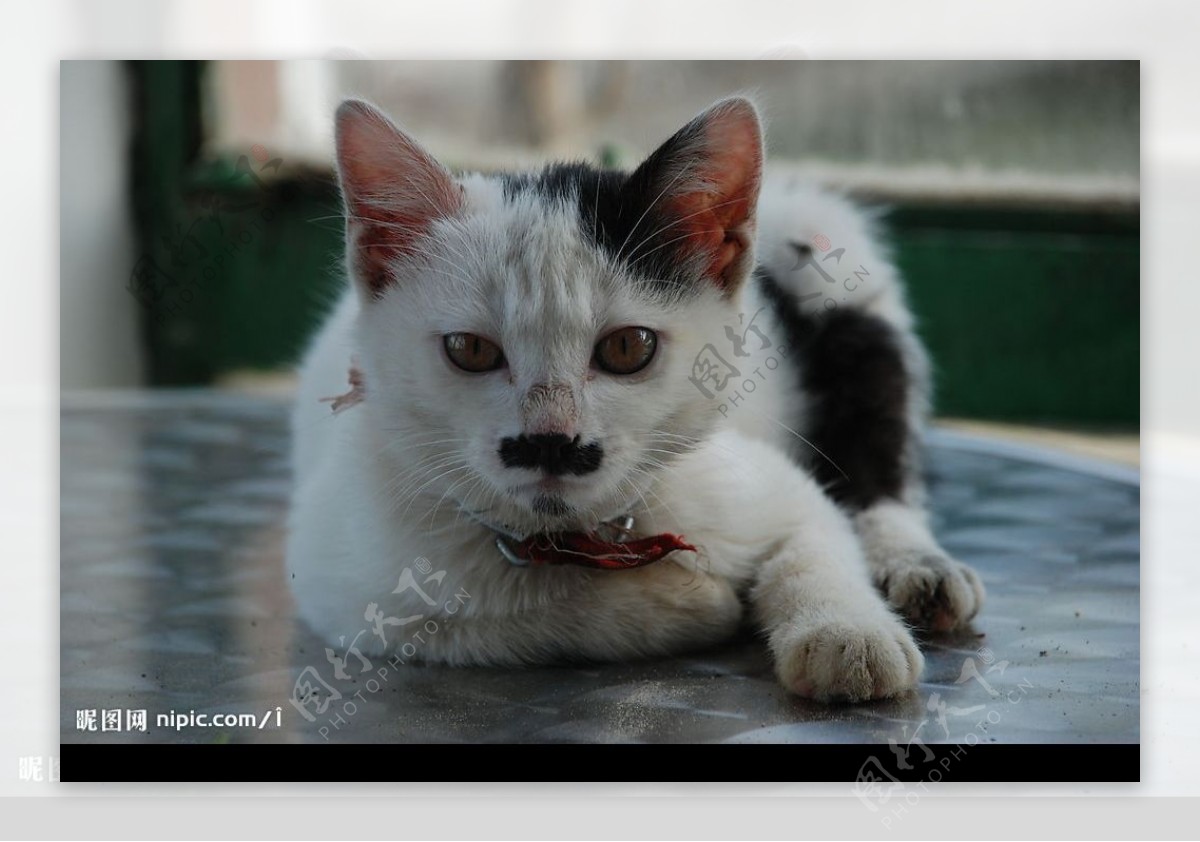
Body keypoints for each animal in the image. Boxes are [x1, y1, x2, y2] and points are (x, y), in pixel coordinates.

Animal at [285, 97, 979, 705]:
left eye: (628, 347)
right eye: (470, 350)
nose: (550, 442)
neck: (579, 537)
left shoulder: (766, 484)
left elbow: (817, 536)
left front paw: (846, 634)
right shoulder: (345, 584)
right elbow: (493, 622)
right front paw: (693, 603)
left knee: (880, 467)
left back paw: (916, 563)